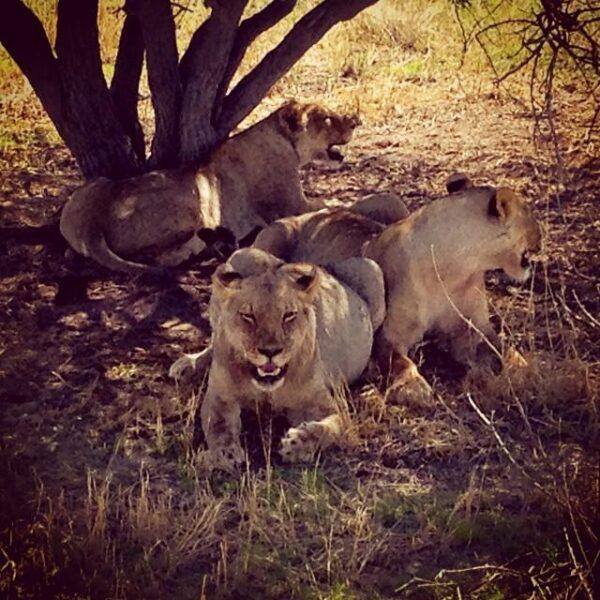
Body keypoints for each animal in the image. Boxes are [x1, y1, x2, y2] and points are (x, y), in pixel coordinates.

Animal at [59, 101, 360, 274]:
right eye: (327, 119)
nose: (355, 121)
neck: (283, 139)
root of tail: (92, 223)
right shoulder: (293, 205)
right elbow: (333, 204)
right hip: (196, 201)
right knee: (166, 258)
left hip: (96, 184)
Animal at [198, 246, 384, 472]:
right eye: (248, 316)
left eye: (288, 315)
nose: (270, 351)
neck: (268, 390)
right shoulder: (219, 396)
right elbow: (218, 426)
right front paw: (225, 452)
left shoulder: (326, 405)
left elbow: (331, 428)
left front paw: (297, 443)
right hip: (241, 255)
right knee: (213, 337)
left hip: (372, 270)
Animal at [251, 176, 540, 406]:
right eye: (530, 214)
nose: (542, 234)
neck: (457, 269)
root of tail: (317, 212)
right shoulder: (387, 337)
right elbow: (400, 361)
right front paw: (412, 388)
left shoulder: (472, 328)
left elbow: (504, 347)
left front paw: (524, 368)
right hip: (275, 237)